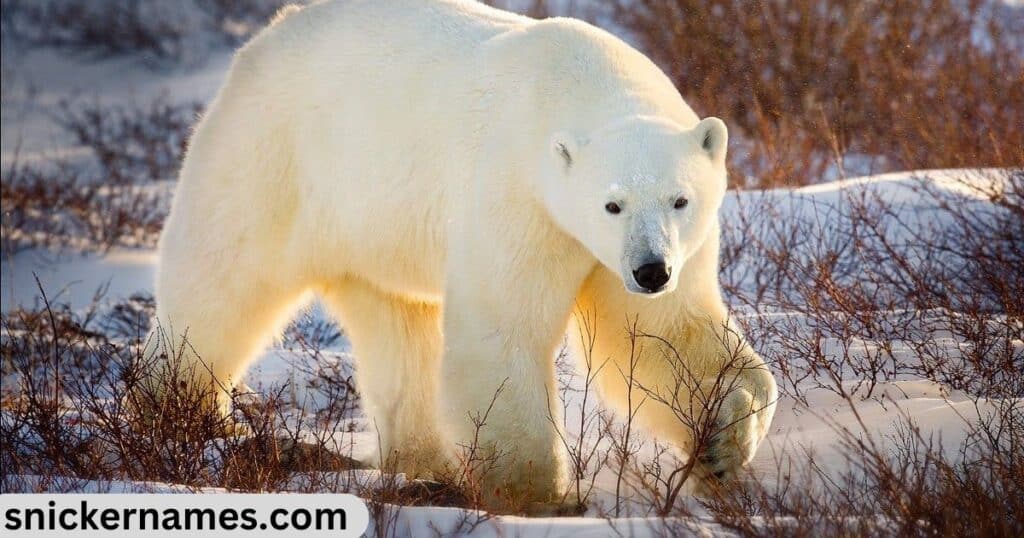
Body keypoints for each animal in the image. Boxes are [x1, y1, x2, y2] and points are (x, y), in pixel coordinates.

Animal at [151, 0, 774, 508]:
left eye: (680, 199)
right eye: (611, 204)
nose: (650, 270)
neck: (582, 83)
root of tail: (268, 35)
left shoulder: (660, 249)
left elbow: (663, 334)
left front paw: (721, 447)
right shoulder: (521, 195)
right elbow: (504, 330)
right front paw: (538, 496)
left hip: (375, 228)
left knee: (397, 324)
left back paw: (424, 460)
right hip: (273, 158)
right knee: (221, 281)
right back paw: (182, 416)